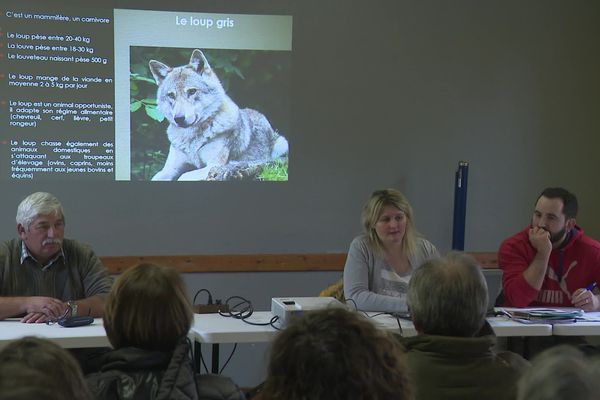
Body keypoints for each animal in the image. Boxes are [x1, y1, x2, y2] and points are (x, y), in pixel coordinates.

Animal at [148, 49, 288, 180]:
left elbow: (183, 176)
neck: (191, 139)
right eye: (171, 95)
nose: (179, 118)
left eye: (192, 91)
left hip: (282, 144)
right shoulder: (169, 169)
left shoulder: (213, 165)